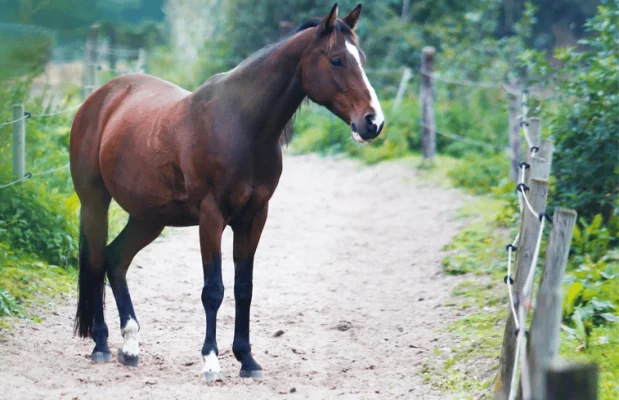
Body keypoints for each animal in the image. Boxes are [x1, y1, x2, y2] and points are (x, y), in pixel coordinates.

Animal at [70, 1, 386, 380]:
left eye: (361, 58)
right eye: (337, 59)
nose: (373, 122)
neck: (241, 125)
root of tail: (102, 99)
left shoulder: (254, 218)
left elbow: (243, 288)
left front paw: (247, 359)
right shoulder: (212, 217)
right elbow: (213, 290)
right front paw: (210, 360)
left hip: (148, 218)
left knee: (116, 260)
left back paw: (130, 347)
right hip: (95, 204)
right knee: (96, 260)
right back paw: (101, 344)